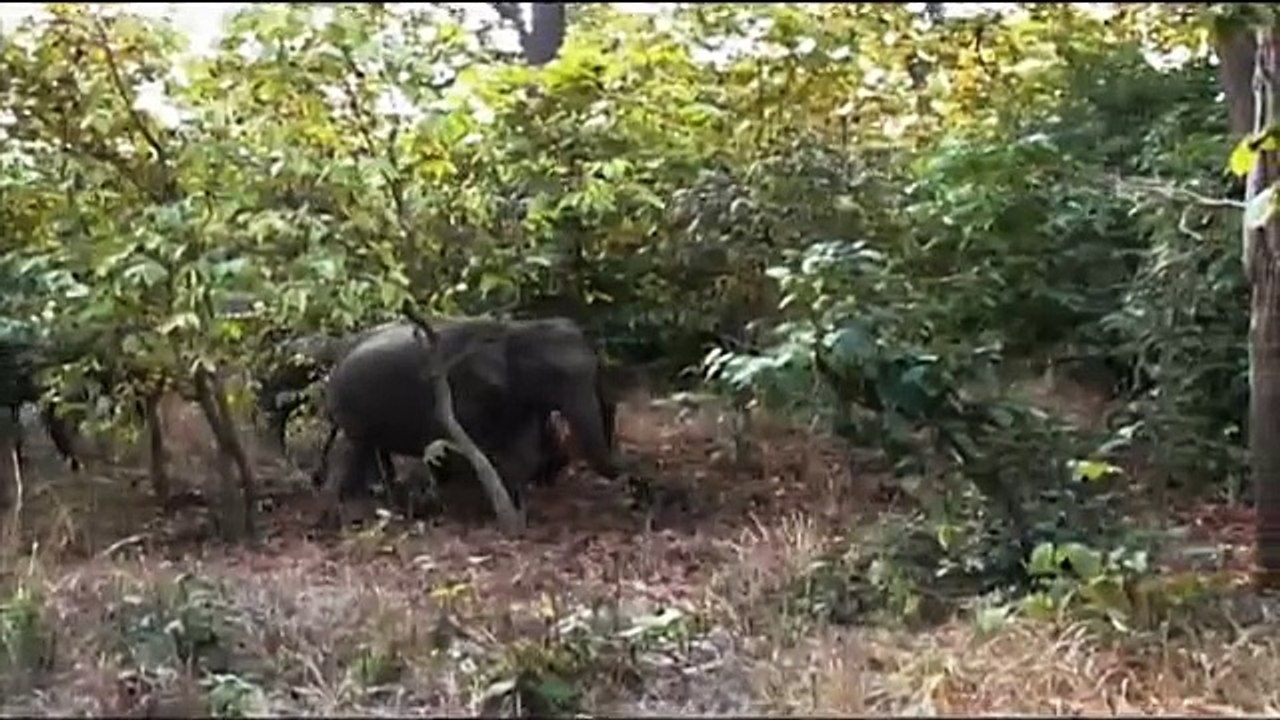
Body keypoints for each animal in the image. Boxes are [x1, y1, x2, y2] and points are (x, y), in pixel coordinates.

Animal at [318, 316, 620, 515]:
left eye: (595, 368)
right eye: (554, 376)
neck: (514, 331)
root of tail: (337, 359)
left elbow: (526, 449)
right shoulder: (467, 392)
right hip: (352, 409)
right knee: (359, 447)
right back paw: (360, 499)